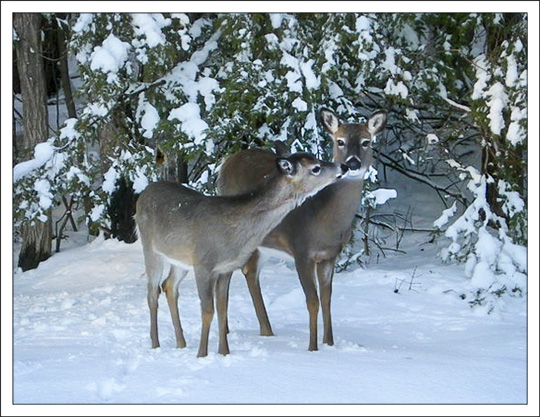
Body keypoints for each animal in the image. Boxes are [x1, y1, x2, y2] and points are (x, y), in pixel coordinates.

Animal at [135, 151, 346, 356]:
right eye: (316, 168)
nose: (342, 166)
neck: (234, 235)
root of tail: (143, 194)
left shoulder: (226, 267)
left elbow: (222, 308)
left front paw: (224, 352)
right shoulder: (203, 264)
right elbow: (208, 310)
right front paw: (202, 355)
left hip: (180, 259)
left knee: (169, 286)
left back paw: (181, 343)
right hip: (150, 247)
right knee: (152, 292)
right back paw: (155, 344)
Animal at [217, 108, 386, 352]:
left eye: (366, 141)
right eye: (340, 141)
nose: (352, 164)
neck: (324, 219)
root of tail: (226, 162)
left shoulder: (329, 255)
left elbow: (327, 298)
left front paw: (330, 343)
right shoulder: (301, 249)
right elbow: (312, 300)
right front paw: (312, 348)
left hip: (263, 243)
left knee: (250, 272)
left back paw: (266, 331)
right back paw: (230, 330)